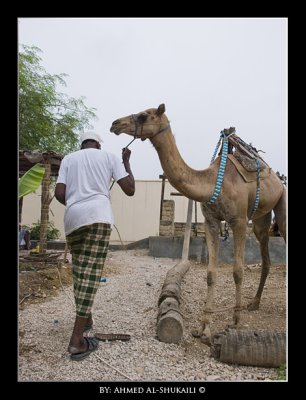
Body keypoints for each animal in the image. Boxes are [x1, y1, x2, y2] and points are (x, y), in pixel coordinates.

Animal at [110, 103, 286, 344]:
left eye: (145, 115)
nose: (115, 124)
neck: (212, 183)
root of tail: (277, 177)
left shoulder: (239, 221)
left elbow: (238, 271)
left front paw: (235, 321)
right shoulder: (211, 221)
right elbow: (210, 274)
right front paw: (204, 329)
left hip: (282, 203)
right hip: (261, 217)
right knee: (266, 255)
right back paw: (254, 303)